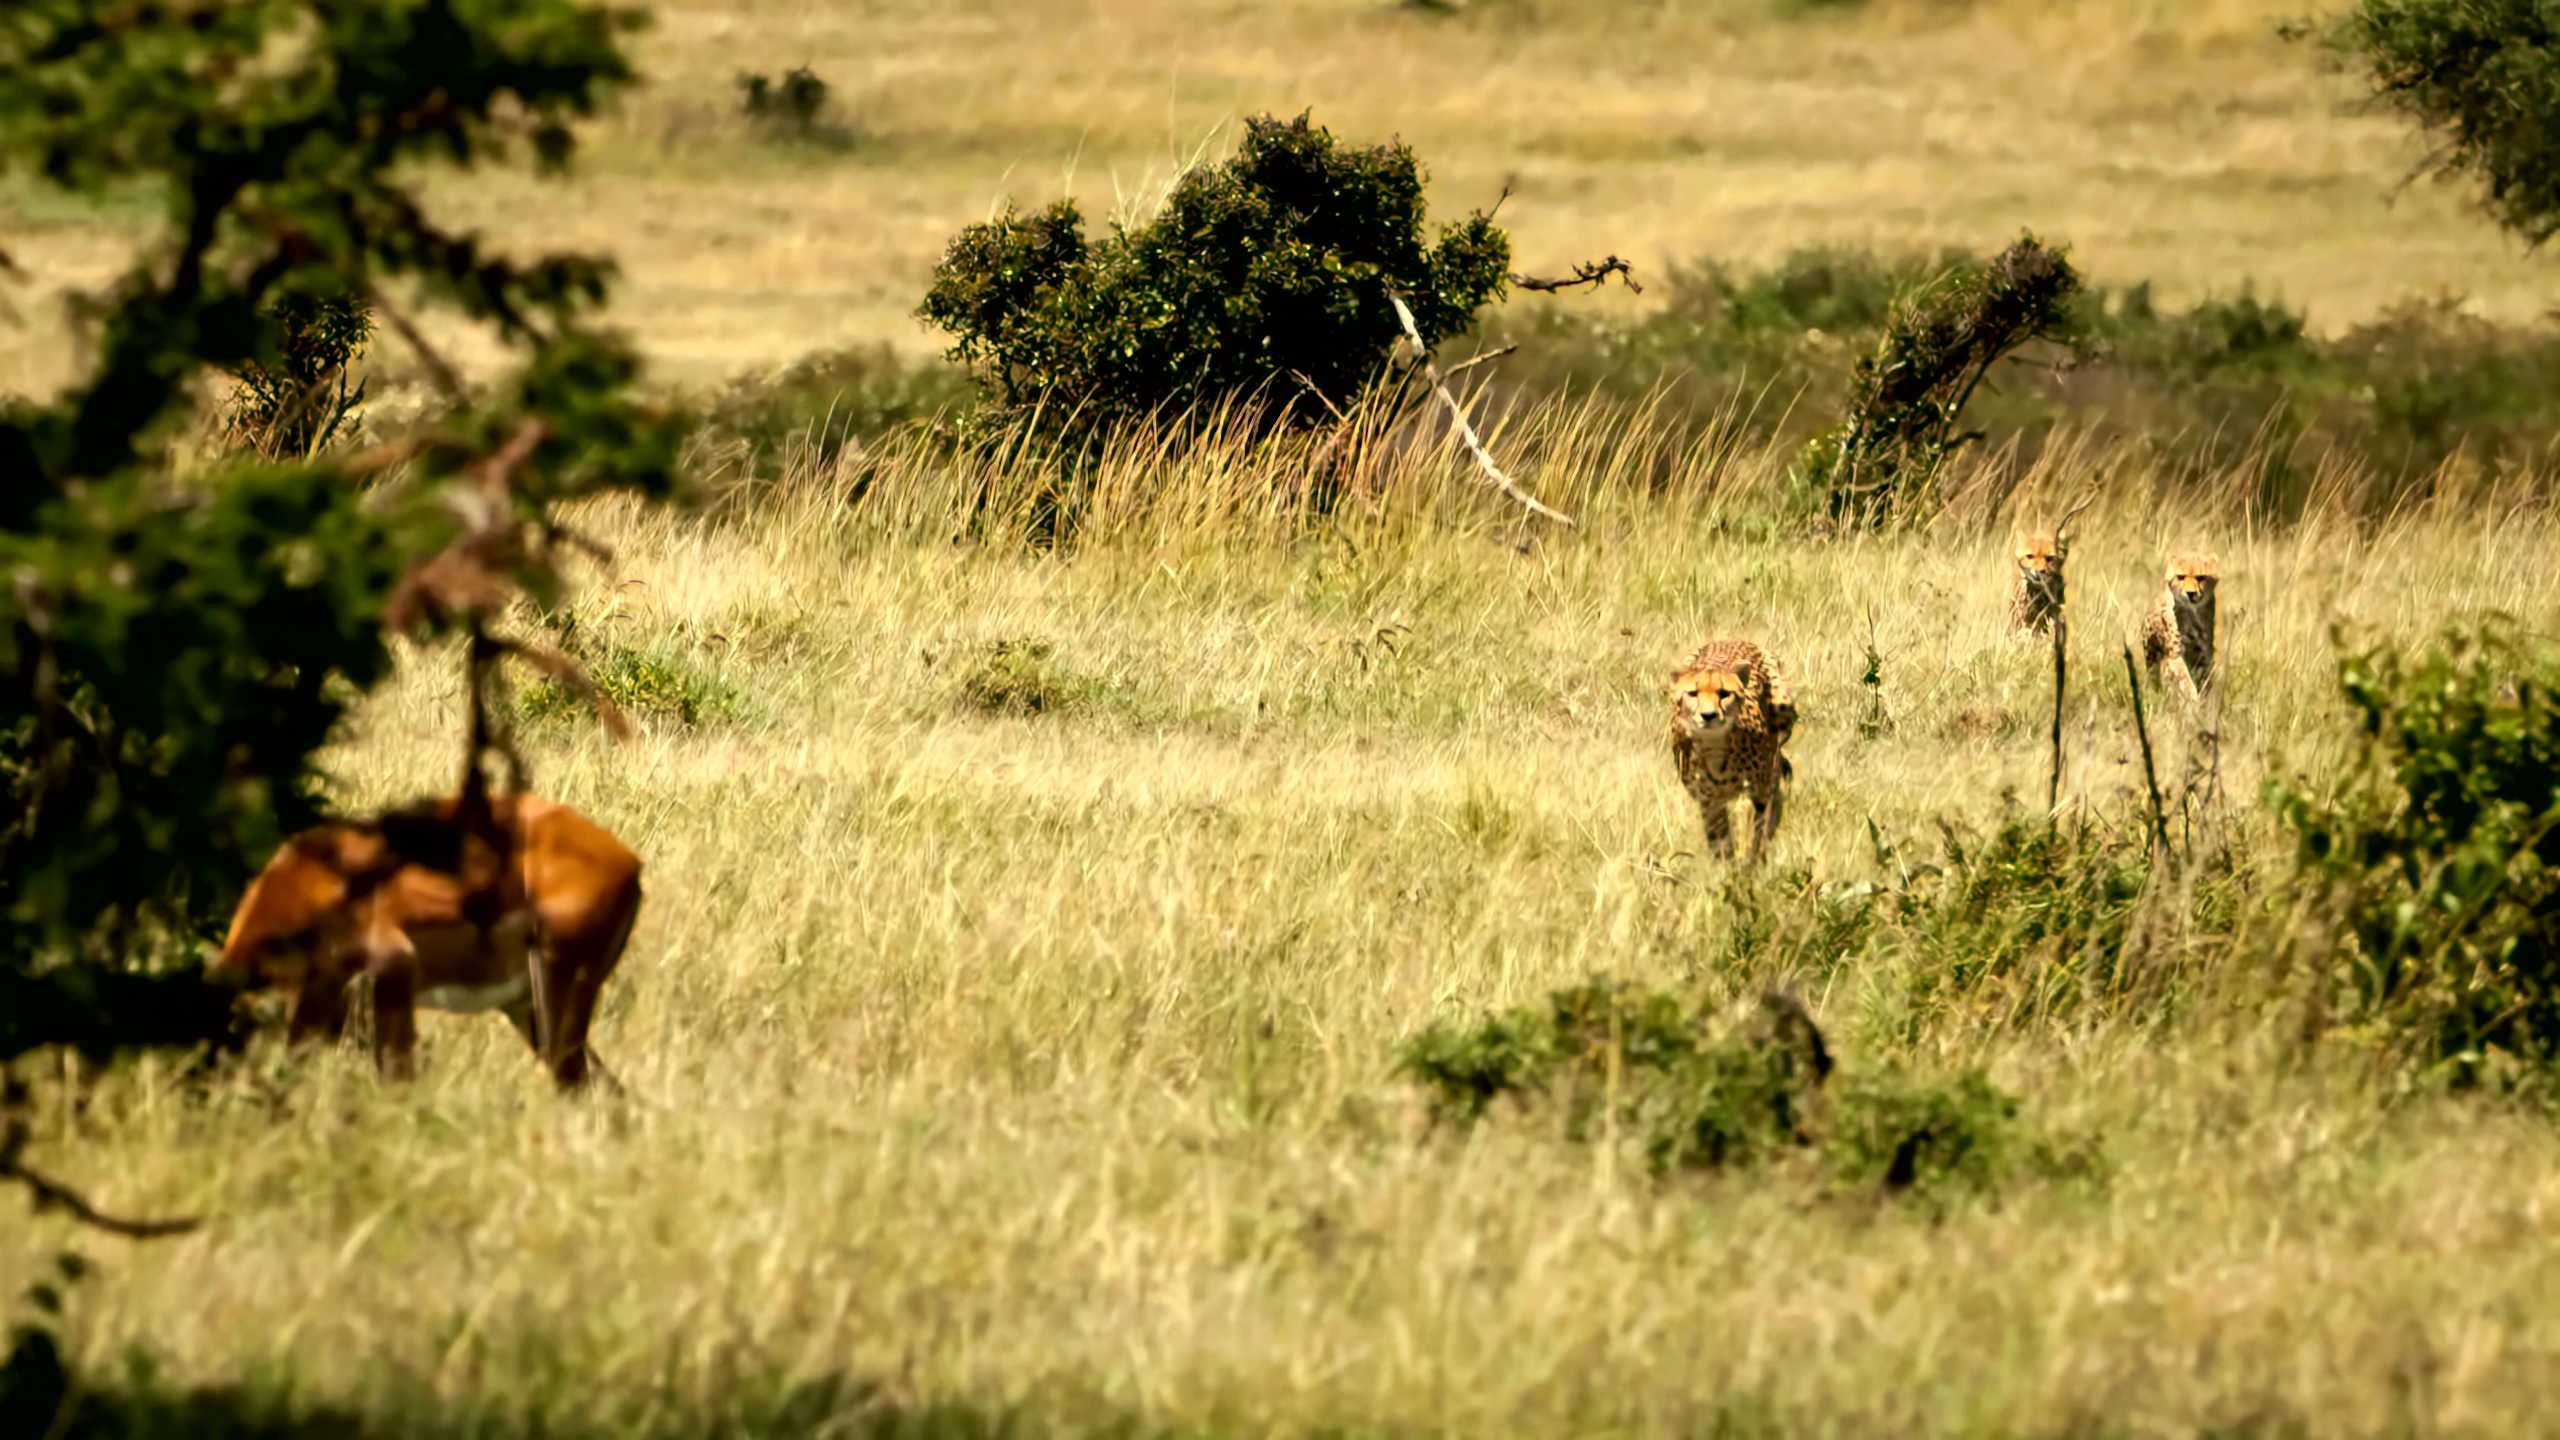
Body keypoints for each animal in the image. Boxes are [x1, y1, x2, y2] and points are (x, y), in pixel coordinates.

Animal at [1669, 638, 1792, 860]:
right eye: (1692, 694)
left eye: (1724, 693)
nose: (1708, 715)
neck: (1715, 745)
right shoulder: (1709, 800)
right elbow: (1719, 835)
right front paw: (1726, 862)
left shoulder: (1755, 792)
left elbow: (1755, 827)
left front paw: (1751, 859)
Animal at [2140, 548, 2222, 702]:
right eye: (2181, 577)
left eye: (2200, 578)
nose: (2190, 593)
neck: (2193, 611)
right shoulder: (2175, 653)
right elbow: (2185, 679)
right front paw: (2193, 699)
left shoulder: (2203, 654)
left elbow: (2204, 681)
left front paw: (2205, 701)